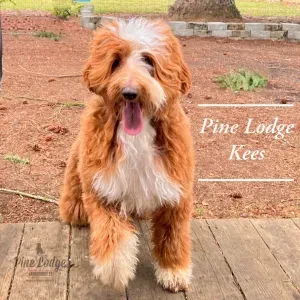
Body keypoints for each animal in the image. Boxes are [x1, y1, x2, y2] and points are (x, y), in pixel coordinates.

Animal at [59, 17, 195, 292]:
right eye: (116, 61)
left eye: (149, 61)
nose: (130, 92)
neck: (136, 136)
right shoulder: (103, 188)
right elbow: (111, 231)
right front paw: (114, 268)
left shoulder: (176, 191)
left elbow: (173, 235)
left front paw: (174, 270)